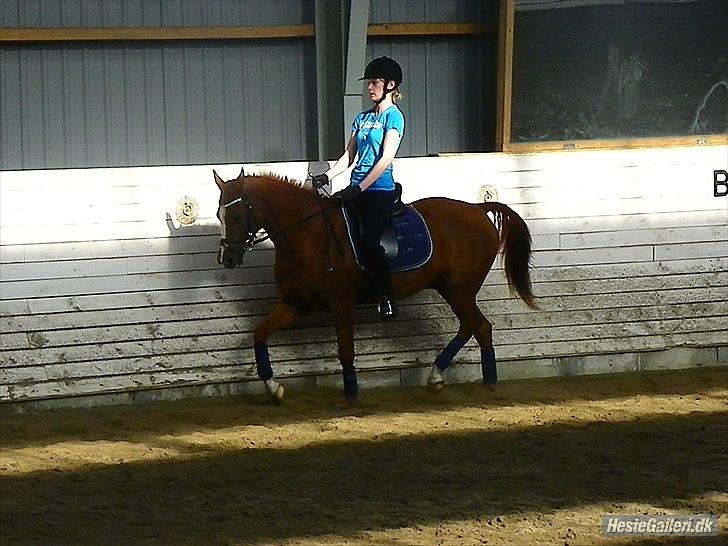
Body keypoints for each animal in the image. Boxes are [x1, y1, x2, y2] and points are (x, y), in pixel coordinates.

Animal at [213, 168, 536, 402]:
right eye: (219, 214)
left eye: (237, 214)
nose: (227, 258)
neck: (307, 234)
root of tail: (477, 209)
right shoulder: (296, 303)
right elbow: (259, 334)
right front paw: (273, 387)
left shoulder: (341, 303)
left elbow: (345, 350)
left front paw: (350, 393)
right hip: (456, 291)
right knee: (478, 327)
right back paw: (475, 381)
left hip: (459, 291)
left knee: (475, 325)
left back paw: (450, 378)